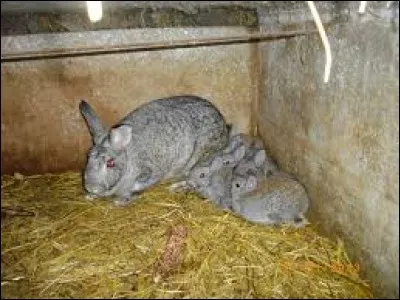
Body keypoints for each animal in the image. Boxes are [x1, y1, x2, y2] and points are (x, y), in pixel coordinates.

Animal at [78, 96, 230, 206]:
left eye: (110, 163)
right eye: (87, 157)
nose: (91, 187)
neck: (128, 157)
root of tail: (222, 122)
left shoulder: (151, 172)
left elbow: (137, 186)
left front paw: (121, 200)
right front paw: (90, 196)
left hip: (200, 158)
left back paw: (176, 187)